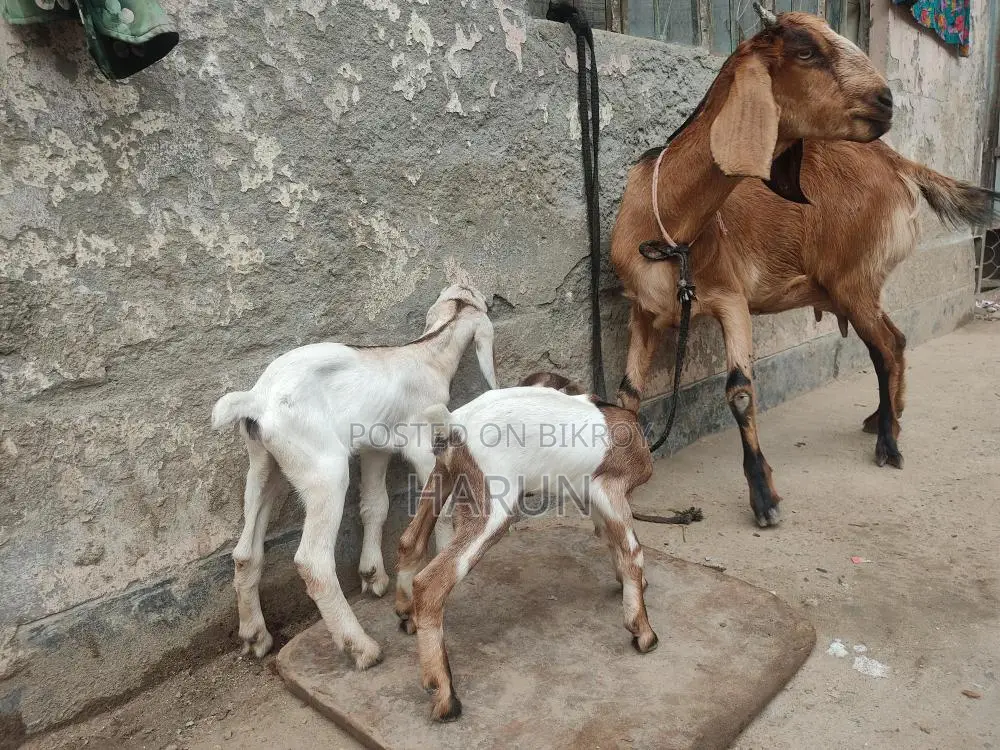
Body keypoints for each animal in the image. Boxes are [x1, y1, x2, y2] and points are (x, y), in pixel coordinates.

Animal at [211, 283, 497, 669]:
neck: (426, 354)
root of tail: (256, 400)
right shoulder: (423, 445)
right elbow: (441, 510)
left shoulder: (375, 446)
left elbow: (375, 505)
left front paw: (372, 573)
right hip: (323, 471)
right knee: (313, 561)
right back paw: (360, 646)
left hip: (263, 464)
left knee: (245, 551)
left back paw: (255, 635)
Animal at [394, 383, 655, 721]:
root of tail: (454, 425)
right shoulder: (609, 488)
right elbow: (632, 550)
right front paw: (643, 632)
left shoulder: (589, 496)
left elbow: (610, 538)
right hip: (492, 506)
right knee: (432, 582)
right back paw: (445, 695)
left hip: (443, 477)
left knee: (410, 541)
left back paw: (405, 613)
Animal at [611, 9, 998, 528]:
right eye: (806, 51)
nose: (887, 102)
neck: (668, 224)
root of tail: (897, 161)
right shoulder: (642, 309)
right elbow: (629, 392)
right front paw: (627, 472)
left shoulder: (730, 298)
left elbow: (739, 391)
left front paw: (764, 497)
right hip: (854, 286)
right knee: (892, 344)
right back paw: (885, 419)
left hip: (856, 279)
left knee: (886, 347)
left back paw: (889, 441)